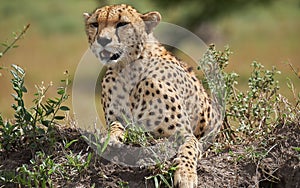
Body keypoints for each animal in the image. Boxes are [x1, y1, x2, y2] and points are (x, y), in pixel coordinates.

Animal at [83, 4, 221, 188]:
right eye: (95, 24)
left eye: (122, 23)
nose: (103, 40)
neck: (128, 69)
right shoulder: (117, 117)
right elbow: (115, 126)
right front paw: (112, 137)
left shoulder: (185, 133)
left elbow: (189, 148)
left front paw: (186, 174)